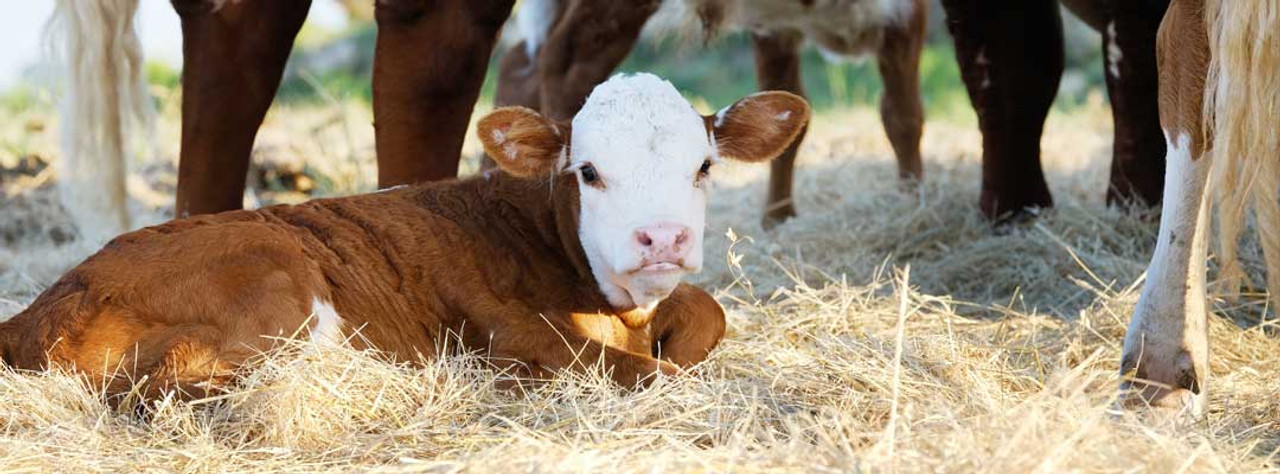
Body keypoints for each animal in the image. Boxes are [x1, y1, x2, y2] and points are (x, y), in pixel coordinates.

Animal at [0, 74, 811, 400]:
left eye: (703, 166)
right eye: (588, 171)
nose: (661, 239)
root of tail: (37, 309)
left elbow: (709, 312)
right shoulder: (513, 332)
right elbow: (643, 372)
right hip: (271, 277)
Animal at [496, 0, 928, 228]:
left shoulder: (775, 28)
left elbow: (790, 119)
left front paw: (777, 219)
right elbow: (903, 114)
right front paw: (913, 201)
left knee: (521, 68)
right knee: (564, 62)